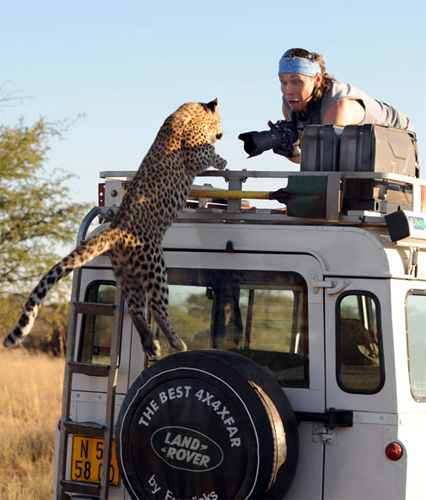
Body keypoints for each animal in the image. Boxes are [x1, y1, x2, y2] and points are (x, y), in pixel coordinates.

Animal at [2, 98, 226, 356]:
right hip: (156, 266)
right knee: (157, 307)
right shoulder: (194, 154)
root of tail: (115, 231)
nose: (221, 134)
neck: (190, 111)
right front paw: (222, 160)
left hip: (128, 276)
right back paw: (176, 342)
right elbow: (208, 153)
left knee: (136, 309)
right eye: (220, 121)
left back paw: (151, 346)